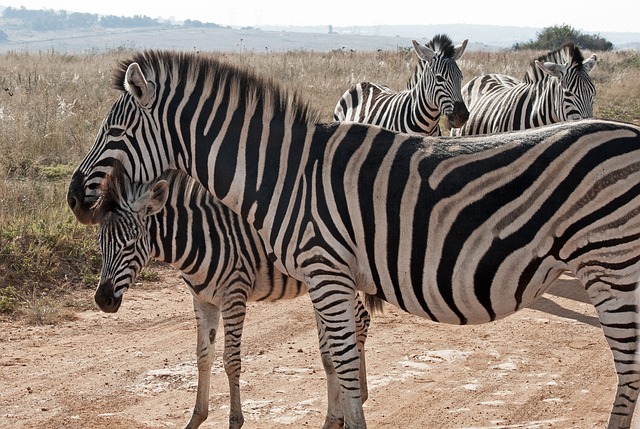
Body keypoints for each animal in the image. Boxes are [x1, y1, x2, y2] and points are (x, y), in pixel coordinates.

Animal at [90, 164, 370, 428]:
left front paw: (235, 420)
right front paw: (196, 417)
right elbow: (203, 357)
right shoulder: (202, 301)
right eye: (100, 244)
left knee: (358, 322)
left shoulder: (233, 296)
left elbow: (230, 360)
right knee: (358, 322)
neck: (199, 239)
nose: (103, 300)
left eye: (131, 244)